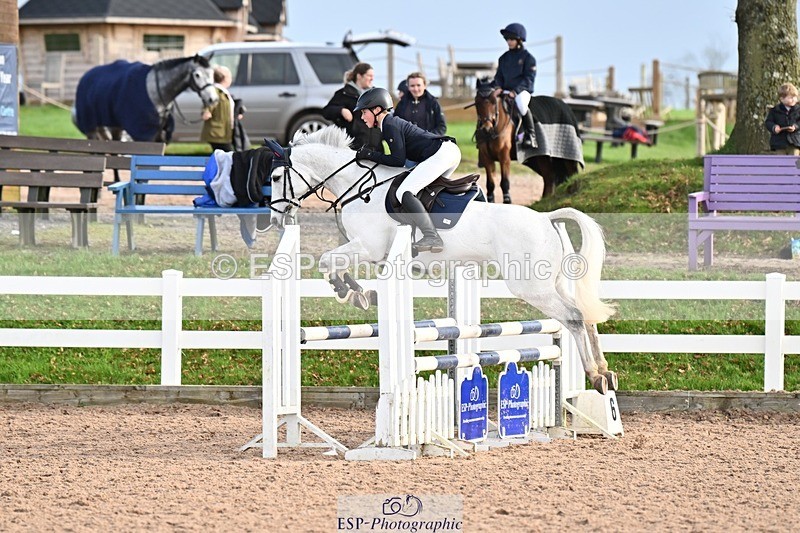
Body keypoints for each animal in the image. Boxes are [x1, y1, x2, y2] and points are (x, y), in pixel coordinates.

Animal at [73, 55, 217, 142]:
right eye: (197, 75)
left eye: (212, 73)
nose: (213, 99)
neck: (157, 91)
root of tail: (85, 77)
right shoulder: (143, 134)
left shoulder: (159, 136)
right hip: (91, 127)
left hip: (114, 127)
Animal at [268, 126, 618, 394]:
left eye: (272, 177)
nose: (275, 218)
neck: (359, 187)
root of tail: (547, 218)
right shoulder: (371, 253)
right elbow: (335, 264)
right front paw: (358, 293)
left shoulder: (369, 247)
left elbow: (328, 261)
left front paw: (350, 293)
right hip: (553, 283)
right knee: (586, 316)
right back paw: (605, 371)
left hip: (532, 287)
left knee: (574, 317)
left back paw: (594, 374)